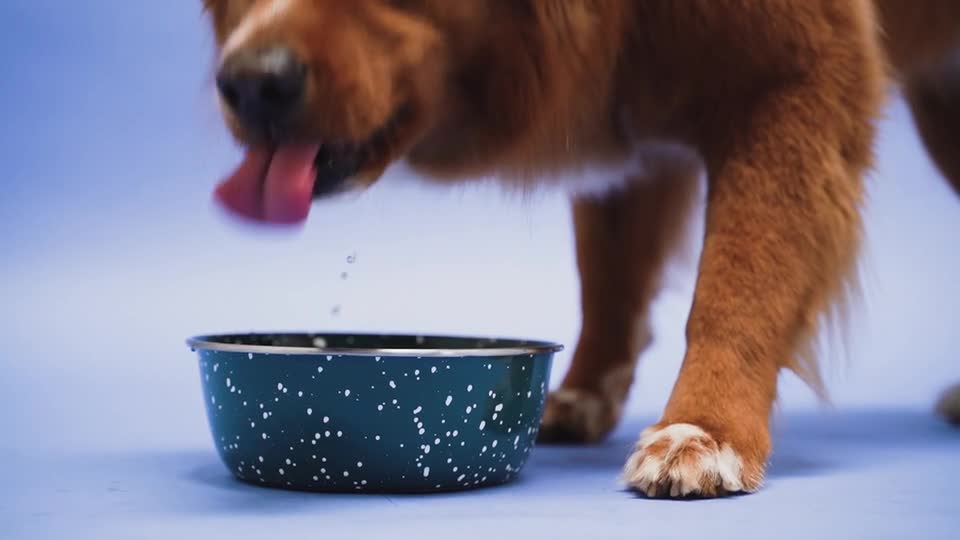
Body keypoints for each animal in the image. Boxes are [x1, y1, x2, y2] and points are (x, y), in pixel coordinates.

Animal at [201, 1, 960, 498]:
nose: (250, 82)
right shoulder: (628, 120)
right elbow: (611, 280)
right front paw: (585, 393)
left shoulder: (792, 76)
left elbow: (738, 282)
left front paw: (704, 428)